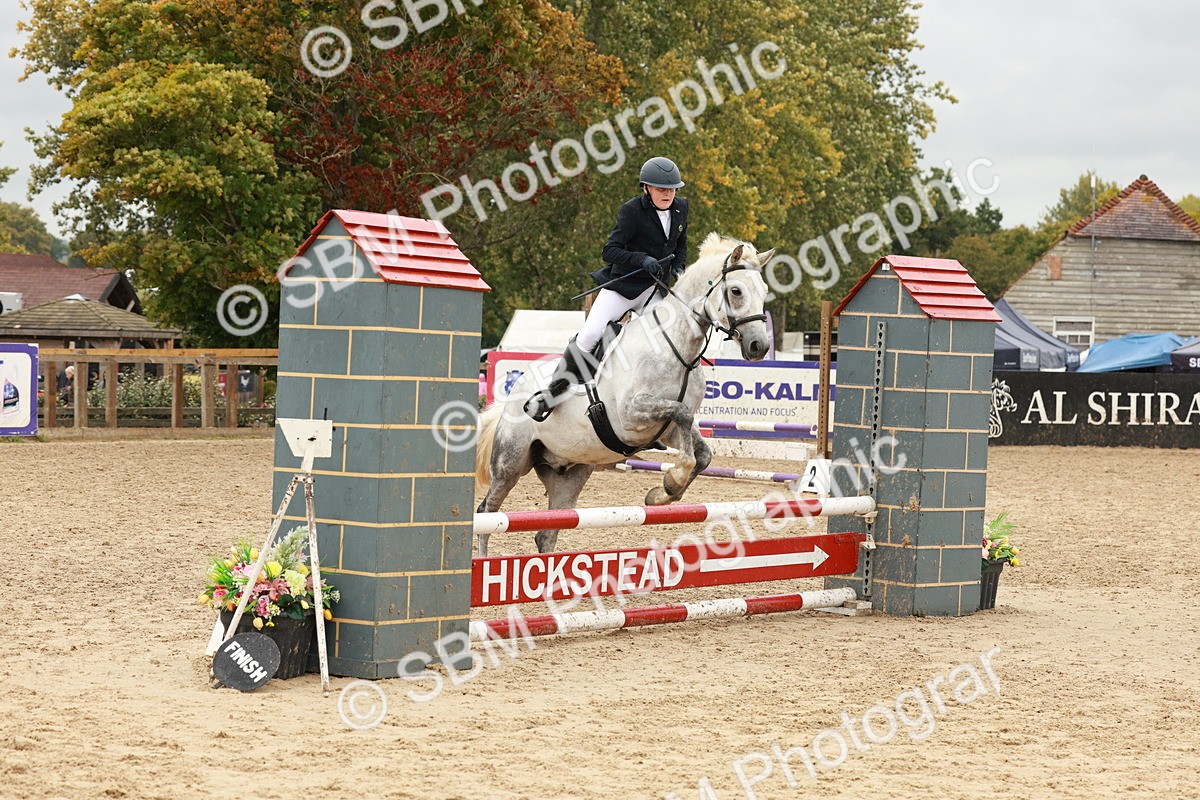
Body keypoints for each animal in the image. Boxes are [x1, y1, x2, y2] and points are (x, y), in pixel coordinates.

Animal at [474, 233, 774, 556]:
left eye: (764, 291)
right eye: (736, 291)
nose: (759, 347)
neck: (678, 348)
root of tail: (512, 395)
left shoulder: (668, 429)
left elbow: (702, 454)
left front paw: (661, 493)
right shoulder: (632, 415)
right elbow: (682, 420)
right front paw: (673, 480)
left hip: (570, 471)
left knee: (546, 533)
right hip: (510, 464)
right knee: (487, 513)